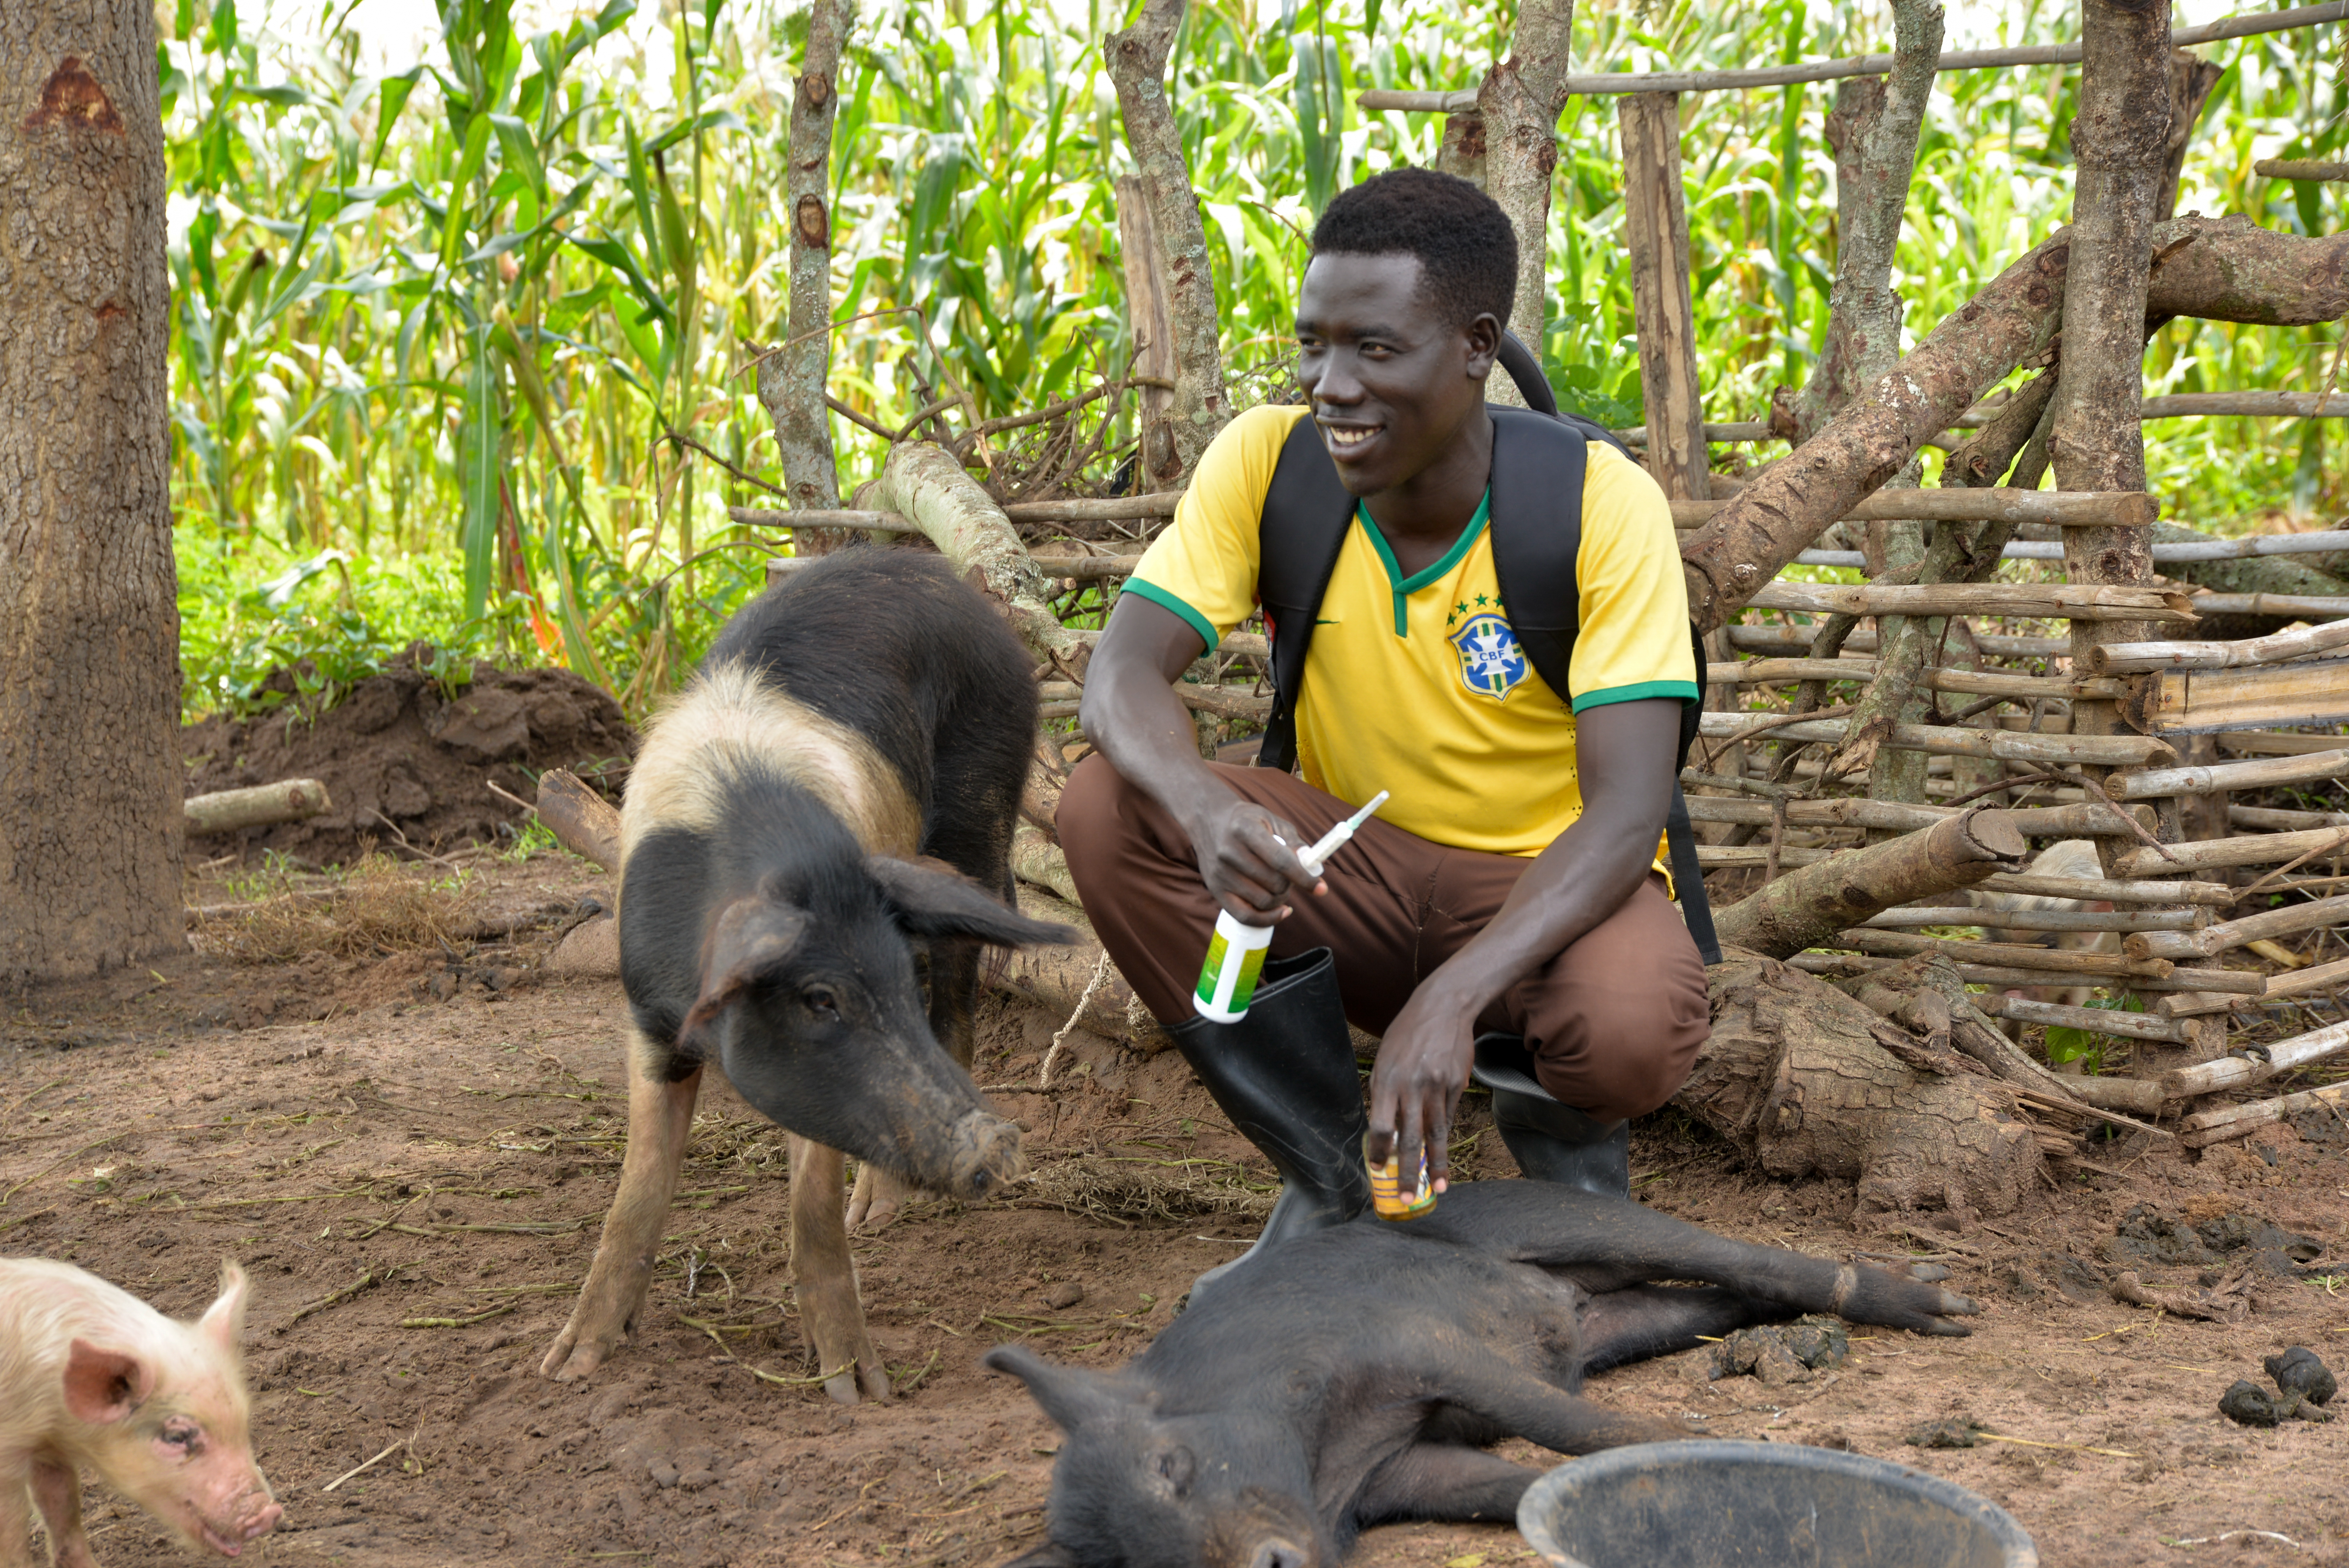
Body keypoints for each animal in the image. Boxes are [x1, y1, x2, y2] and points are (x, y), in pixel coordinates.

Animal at [540, 549, 1076, 1399]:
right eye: (818, 999)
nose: (998, 1145)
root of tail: (947, 578)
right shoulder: (647, 1020)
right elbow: (637, 1188)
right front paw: (568, 1367)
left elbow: (812, 1206)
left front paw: (859, 1390)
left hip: (981, 805)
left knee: (957, 998)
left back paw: (878, 1215)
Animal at [982, 1183, 1973, 1558]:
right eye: (1132, 1559)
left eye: (1172, 1467)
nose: (1268, 1561)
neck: (1325, 1459)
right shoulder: (1402, 1472)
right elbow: (1516, 1483)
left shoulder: (1412, 1339)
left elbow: (1566, 1424)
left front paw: (1688, 1452)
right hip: (1628, 1317)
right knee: (1710, 1299)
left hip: (1568, 1216)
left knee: (1739, 1257)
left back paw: (1940, 1307)